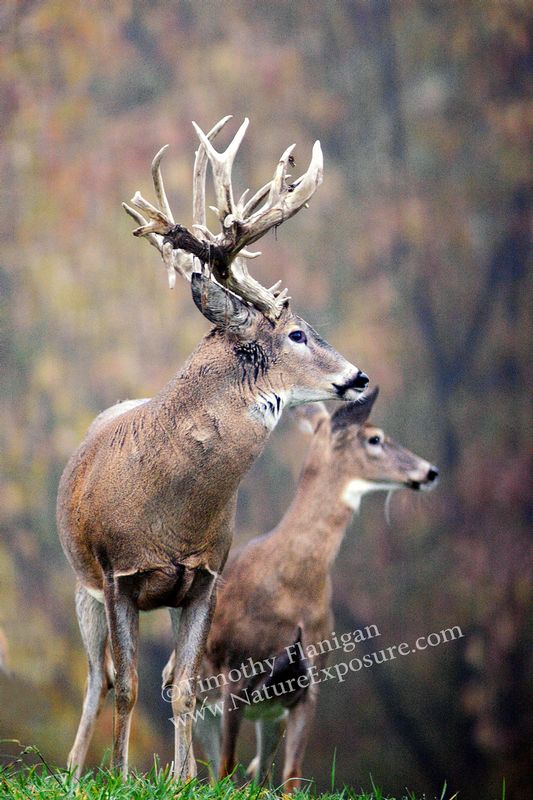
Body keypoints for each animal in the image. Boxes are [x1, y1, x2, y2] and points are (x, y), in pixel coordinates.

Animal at [56, 116, 370, 781]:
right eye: (296, 333)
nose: (359, 376)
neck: (172, 513)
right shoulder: (118, 574)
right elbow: (128, 686)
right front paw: (122, 775)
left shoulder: (206, 576)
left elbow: (181, 687)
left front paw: (184, 779)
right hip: (80, 583)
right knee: (99, 678)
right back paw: (73, 770)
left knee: (162, 677)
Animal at [173, 387, 438, 790]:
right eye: (375, 438)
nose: (429, 471)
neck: (291, 587)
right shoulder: (235, 671)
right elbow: (226, 768)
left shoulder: (309, 683)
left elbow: (292, 777)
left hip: (268, 711)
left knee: (260, 772)